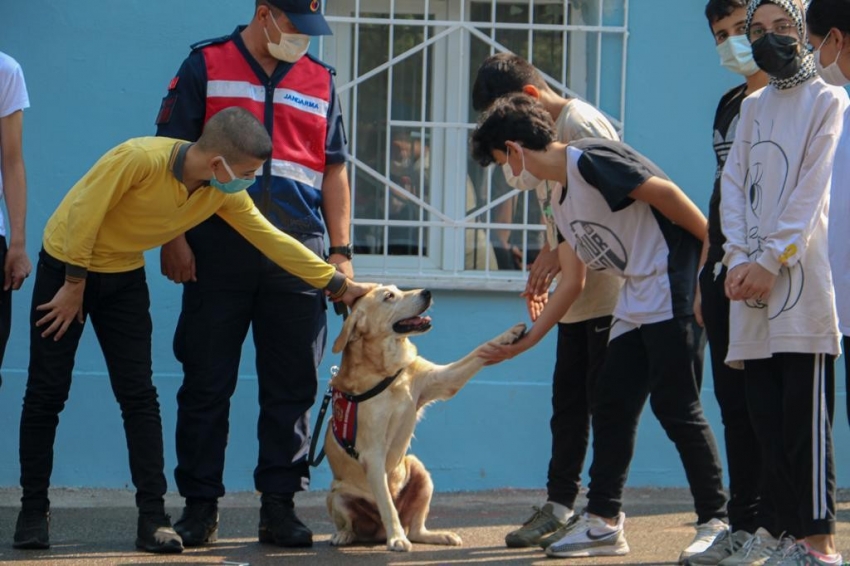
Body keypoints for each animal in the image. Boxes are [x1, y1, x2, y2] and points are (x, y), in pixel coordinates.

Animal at [322, 286, 524, 552]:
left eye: (398, 289)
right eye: (389, 296)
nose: (427, 292)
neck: (388, 371)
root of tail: (377, 533)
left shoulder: (443, 379)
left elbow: (478, 351)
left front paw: (510, 335)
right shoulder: (372, 453)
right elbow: (387, 505)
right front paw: (397, 537)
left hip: (419, 472)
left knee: (417, 529)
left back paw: (438, 535)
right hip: (337, 493)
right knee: (354, 524)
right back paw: (346, 535)